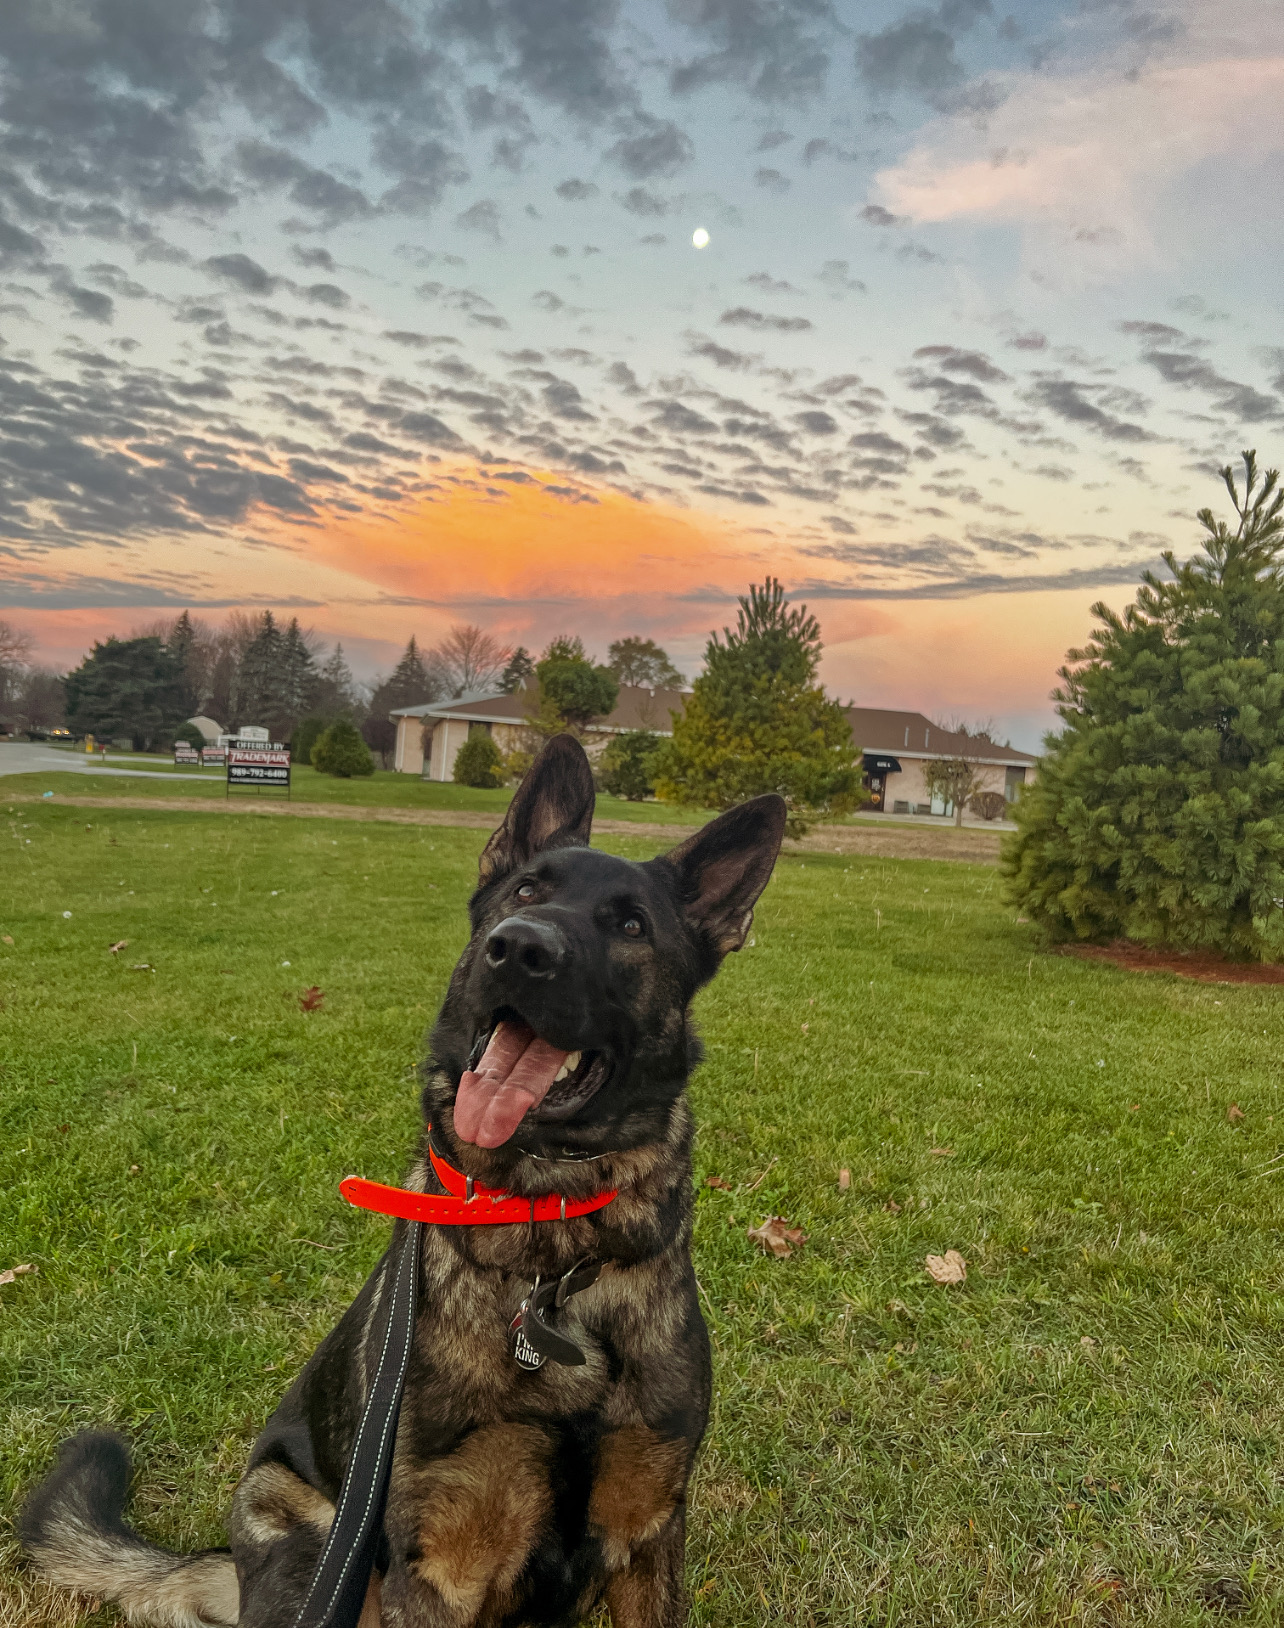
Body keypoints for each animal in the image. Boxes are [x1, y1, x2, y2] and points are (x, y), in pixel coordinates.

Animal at [22, 739, 781, 1628]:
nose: (519, 947)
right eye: (526, 892)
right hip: (306, 1532)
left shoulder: (648, 1531)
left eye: (631, 926)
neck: (550, 1257)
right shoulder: (442, 1565)